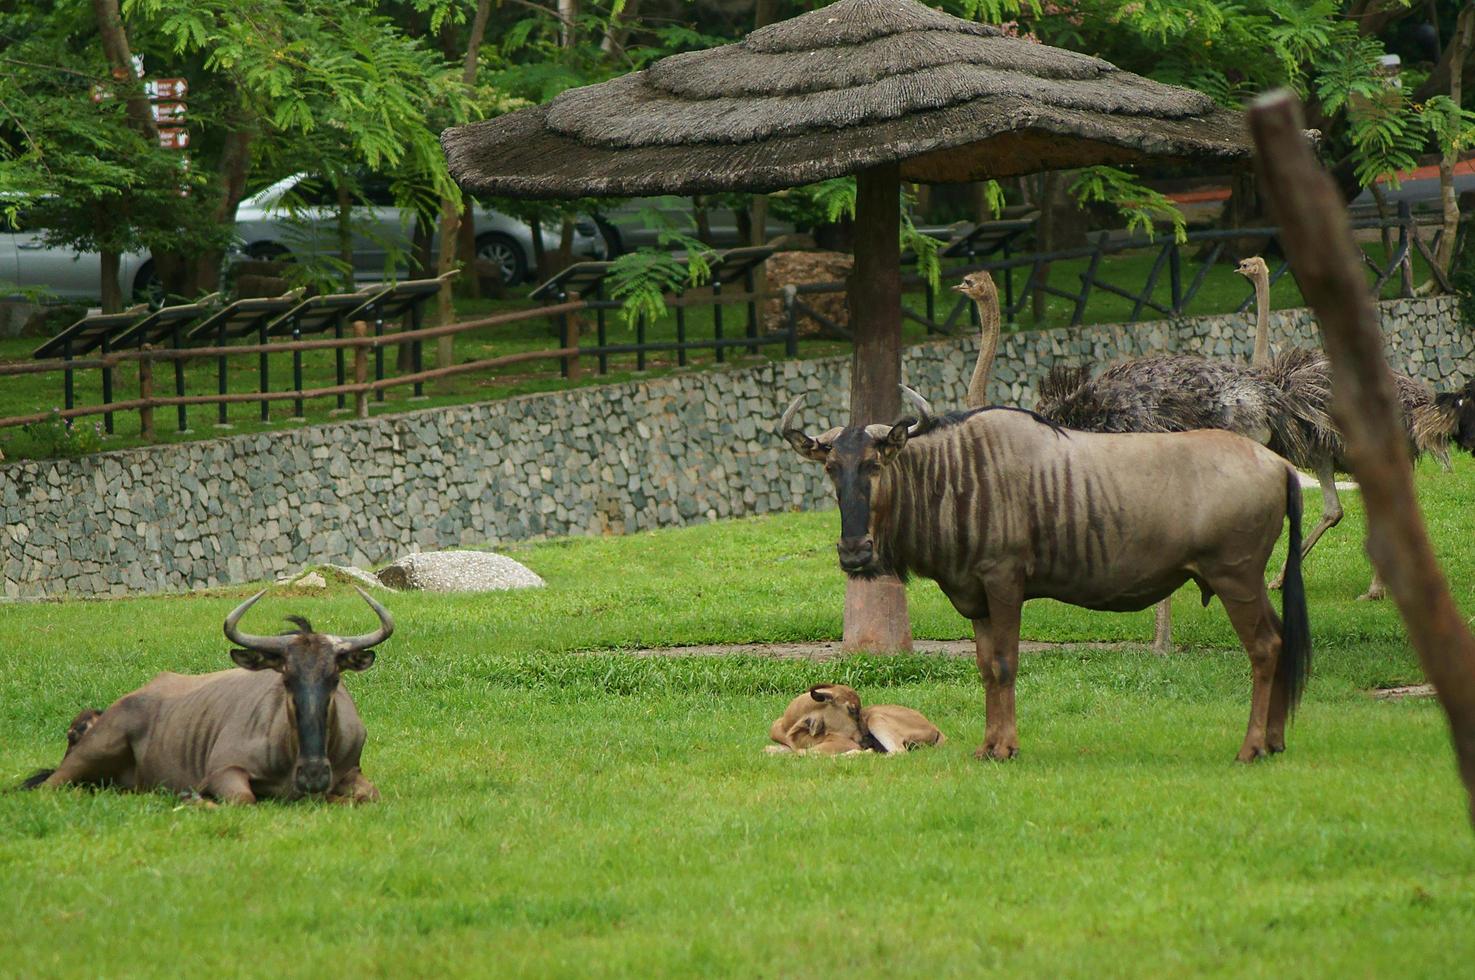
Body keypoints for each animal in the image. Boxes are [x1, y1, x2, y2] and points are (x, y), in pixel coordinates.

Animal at [25, 590, 392, 802]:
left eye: (334, 678)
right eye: (286, 678)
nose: (313, 777)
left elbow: (369, 795)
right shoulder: (223, 772)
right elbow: (243, 800)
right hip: (91, 754)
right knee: (48, 787)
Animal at [772, 681, 944, 755]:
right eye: (852, 709)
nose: (865, 738)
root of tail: (935, 728)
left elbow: (802, 752)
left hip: (876, 719)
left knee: (897, 752)